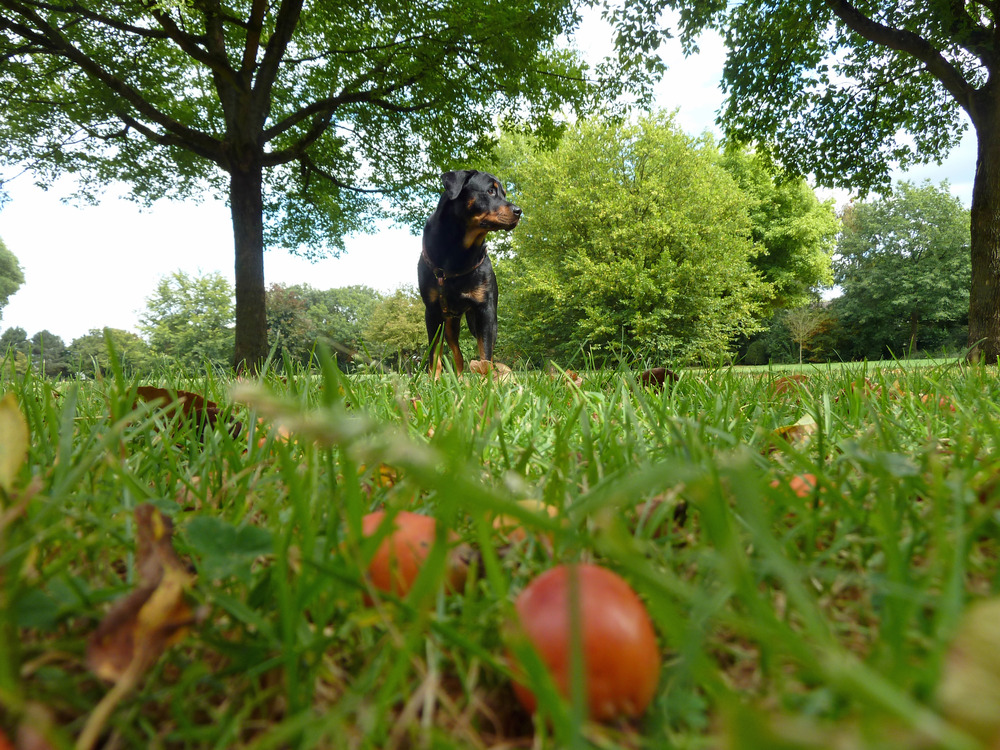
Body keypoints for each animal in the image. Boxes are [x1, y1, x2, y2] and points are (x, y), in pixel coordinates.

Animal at [418, 173, 524, 378]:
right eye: (490, 191)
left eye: (504, 194)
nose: (519, 211)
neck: (458, 253)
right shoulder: (432, 311)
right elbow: (434, 354)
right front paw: (433, 382)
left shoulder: (485, 311)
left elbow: (486, 354)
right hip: (449, 324)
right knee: (457, 355)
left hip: (479, 322)